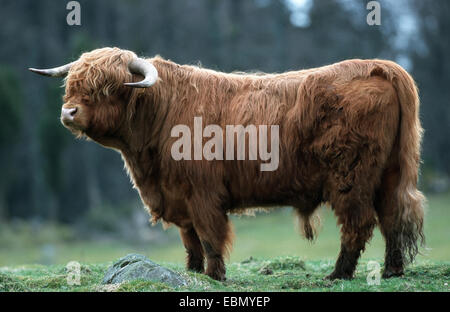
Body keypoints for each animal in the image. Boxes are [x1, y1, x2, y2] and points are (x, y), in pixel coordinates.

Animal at [30, 47, 426, 282]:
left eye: (109, 87)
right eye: (72, 84)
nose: (68, 112)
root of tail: (376, 66)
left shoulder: (203, 194)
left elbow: (209, 238)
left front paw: (214, 276)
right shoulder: (180, 196)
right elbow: (189, 240)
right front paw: (192, 273)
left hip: (351, 176)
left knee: (359, 223)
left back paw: (338, 275)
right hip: (389, 172)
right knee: (392, 216)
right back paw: (392, 270)